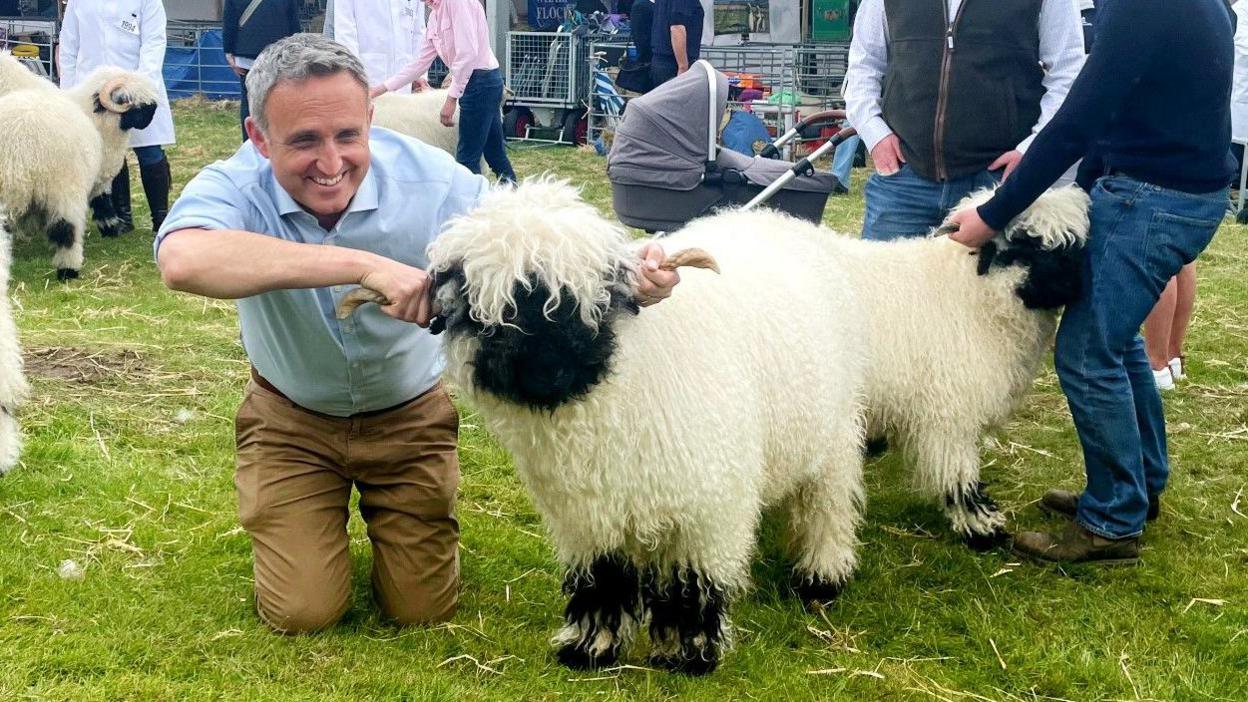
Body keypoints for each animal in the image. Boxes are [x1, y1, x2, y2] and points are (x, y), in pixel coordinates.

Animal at [0, 53, 160, 277]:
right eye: (129, 100)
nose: (152, 115)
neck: (93, 118)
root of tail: (18, 149)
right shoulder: (96, 174)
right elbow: (103, 202)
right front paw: (112, 228)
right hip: (64, 187)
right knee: (67, 228)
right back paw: (68, 269)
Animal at [341, 178, 868, 674]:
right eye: (479, 309)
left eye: (590, 300)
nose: (544, 370)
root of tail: (782, 220)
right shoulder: (587, 515)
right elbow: (602, 580)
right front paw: (589, 648)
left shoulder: (707, 508)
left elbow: (692, 586)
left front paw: (690, 657)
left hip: (837, 433)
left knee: (828, 506)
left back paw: (821, 578)